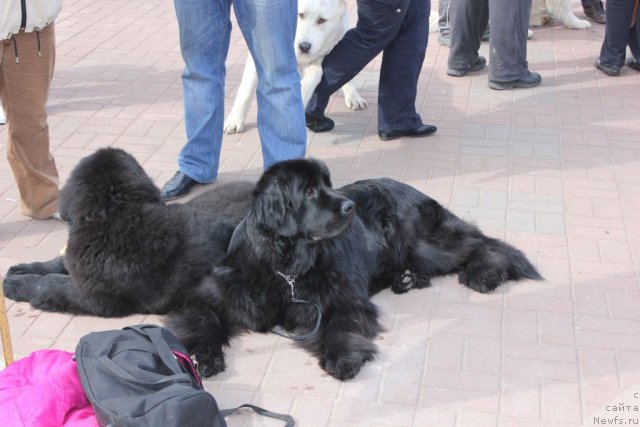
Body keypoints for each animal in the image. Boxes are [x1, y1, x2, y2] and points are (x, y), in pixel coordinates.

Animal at [3, 148, 252, 318]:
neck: (116, 216)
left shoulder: (94, 297)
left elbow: (51, 284)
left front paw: (16, 284)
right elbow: (58, 263)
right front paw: (26, 268)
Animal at [168, 157, 544, 382]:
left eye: (329, 184)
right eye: (308, 191)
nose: (349, 207)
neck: (286, 267)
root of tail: (409, 187)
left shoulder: (342, 299)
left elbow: (341, 326)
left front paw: (343, 359)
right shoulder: (213, 293)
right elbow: (201, 320)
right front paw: (203, 357)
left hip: (425, 240)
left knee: (479, 243)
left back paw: (484, 273)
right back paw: (408, 278)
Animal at [224, 0, 364, 135]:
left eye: (321, 20)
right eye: (300, 15)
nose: (304, 47)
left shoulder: (318, 58)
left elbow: (314, 77)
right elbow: (245, 91)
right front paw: (235, 120)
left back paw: (353, 96)